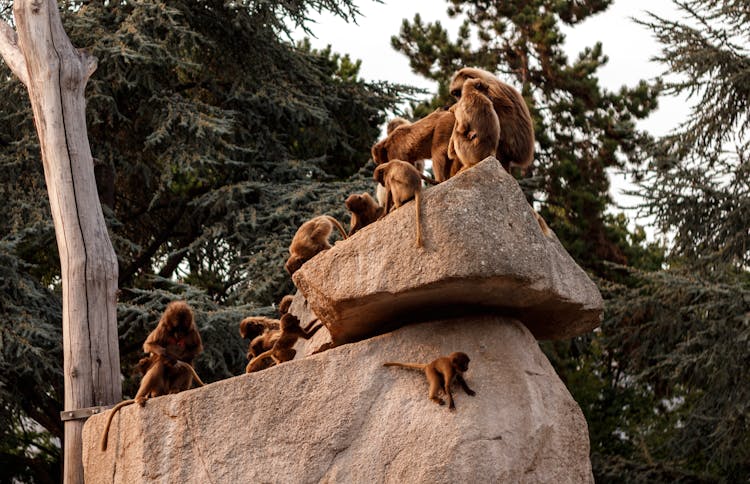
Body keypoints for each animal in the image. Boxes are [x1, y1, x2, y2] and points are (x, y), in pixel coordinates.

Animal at [101, 300, 206, 452]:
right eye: (176, 328)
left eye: (182, 328)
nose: (179, 334)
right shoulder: (162, 329)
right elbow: (150, 345)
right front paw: (168, 357)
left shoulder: (191, 331)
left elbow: (195, 349)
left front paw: (177, 359)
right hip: (158, 388)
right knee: (159, 365)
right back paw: (140, 397)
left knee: (187, 366)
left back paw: (175, 389)